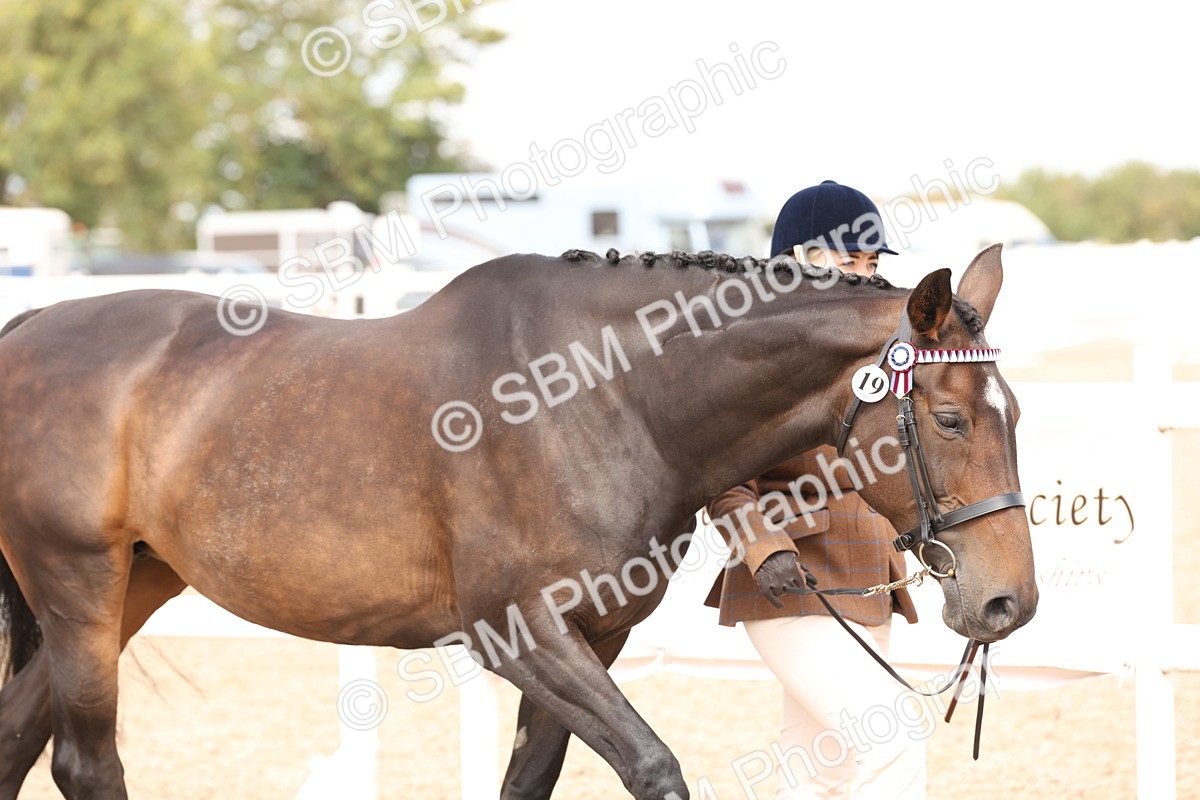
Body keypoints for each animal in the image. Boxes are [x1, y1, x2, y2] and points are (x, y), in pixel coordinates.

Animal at [0, 243, 1036, 799]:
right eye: (950, 420)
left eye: (1016, 415)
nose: (1006, 604)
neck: (603, 398)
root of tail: (31, 325)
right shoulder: (520, 632)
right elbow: (652, 765)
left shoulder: (595, 637)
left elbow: (529, 779)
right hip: (79, 583)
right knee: (84, 762)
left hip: (132, 584)